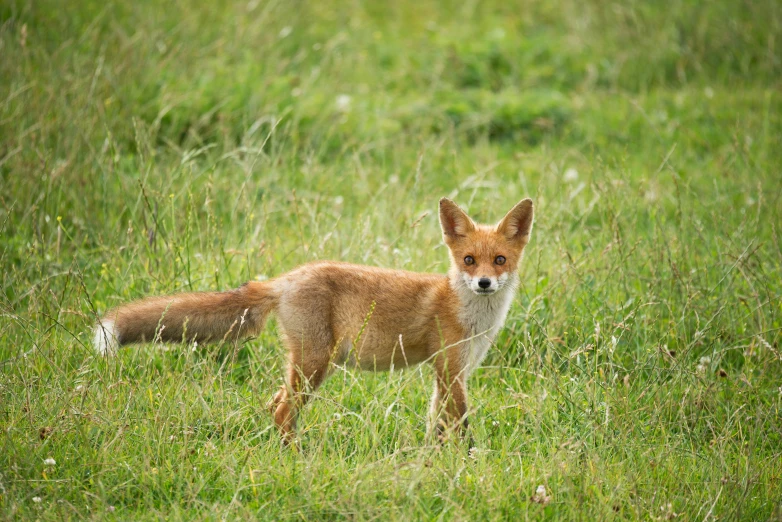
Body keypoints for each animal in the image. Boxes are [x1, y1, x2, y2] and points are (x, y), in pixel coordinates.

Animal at [90, 197, 532, 440]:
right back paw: (296, 458)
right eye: (468, 260)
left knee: (273, 406)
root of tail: (285, 278)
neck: (471, 316)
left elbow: (438, 426)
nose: (484, 283)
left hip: (308, 366)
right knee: (283, 411)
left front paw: (434, 463)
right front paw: (469, 462)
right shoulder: (450, 371)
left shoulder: (451, 373)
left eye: (499, 260)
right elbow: (463, 426)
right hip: (315, 363)